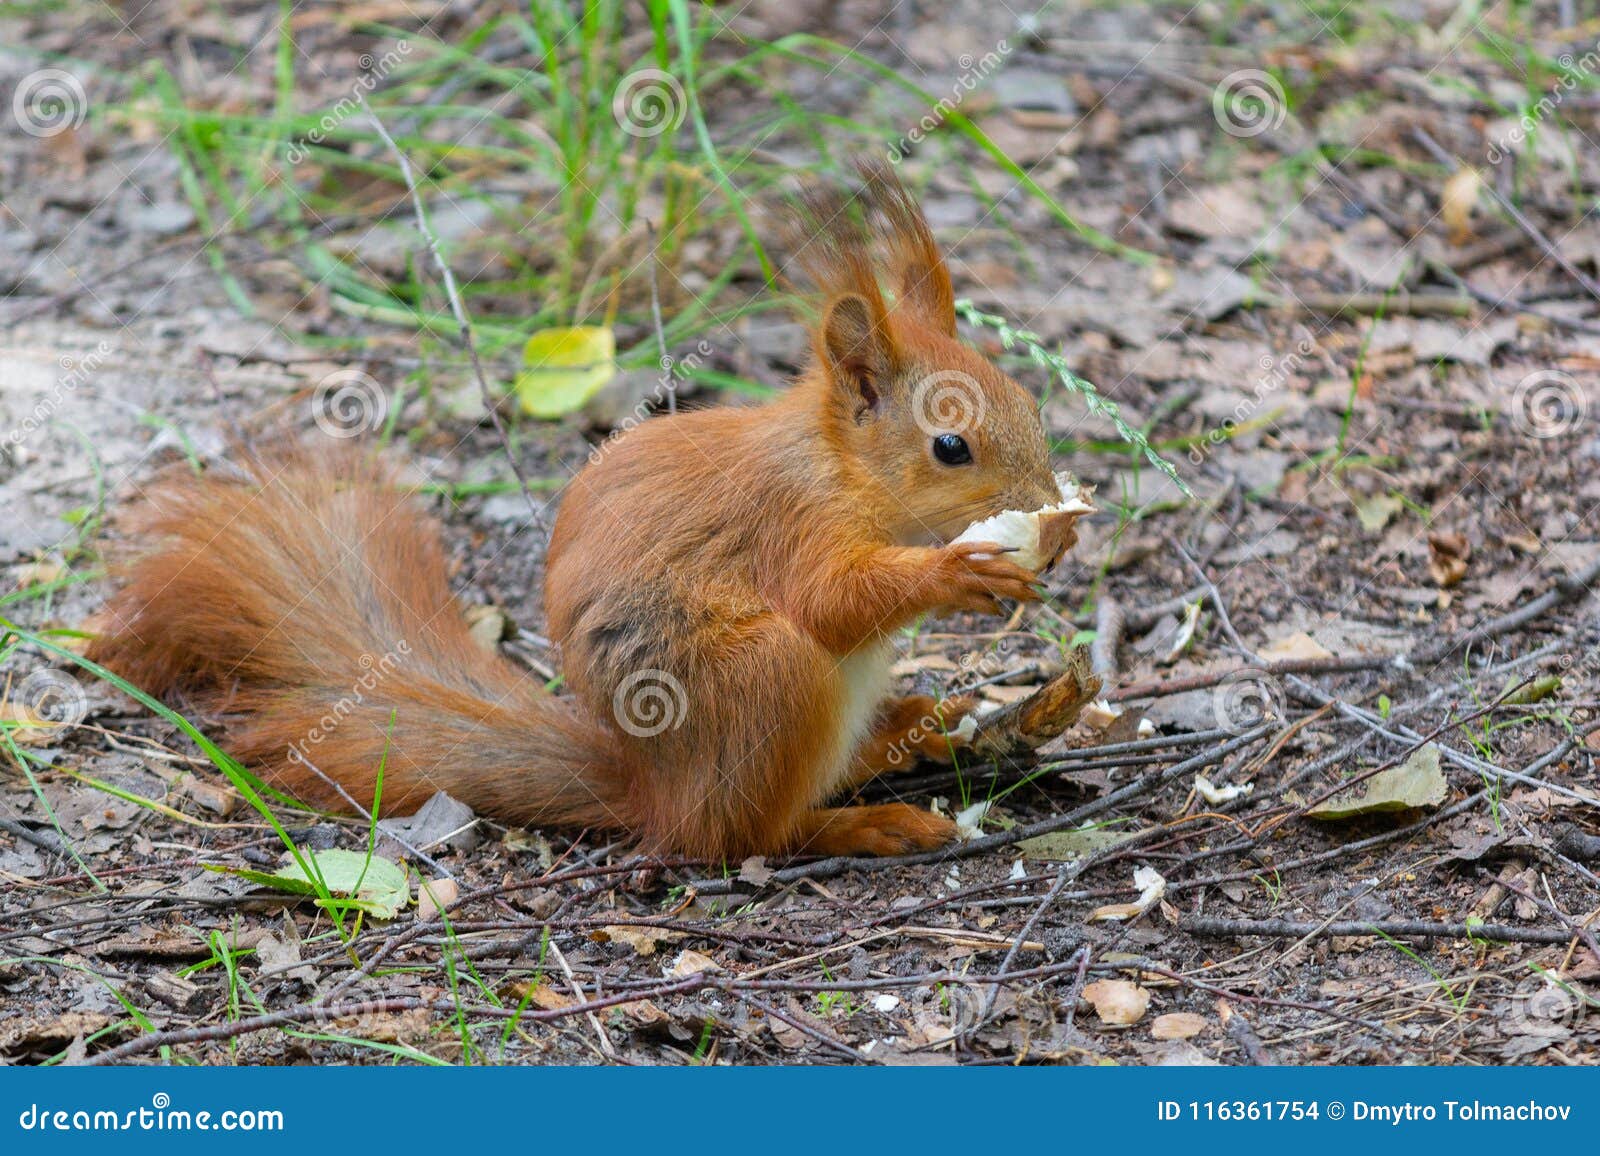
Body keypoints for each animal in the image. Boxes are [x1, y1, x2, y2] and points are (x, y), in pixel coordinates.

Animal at [87, 161, 1066, 860]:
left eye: (1028, 399)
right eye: (951, 447)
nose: (1051, 510)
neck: (838, 466)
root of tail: (649, 787)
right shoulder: (793, 523)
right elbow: (830, 601)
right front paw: (959, 570)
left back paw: (909, 730)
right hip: (766, 681)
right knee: (742, 837)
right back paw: (859, 822)